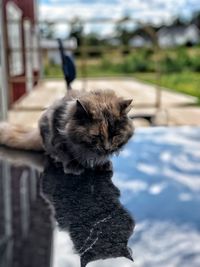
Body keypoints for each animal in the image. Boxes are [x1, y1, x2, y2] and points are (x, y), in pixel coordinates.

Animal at [0, 89, 134, 175]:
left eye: (115, 135)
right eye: (96, 136)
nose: (107, 148)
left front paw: (103, 164)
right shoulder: (57, 137)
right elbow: (66, 154)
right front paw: (73, 167)